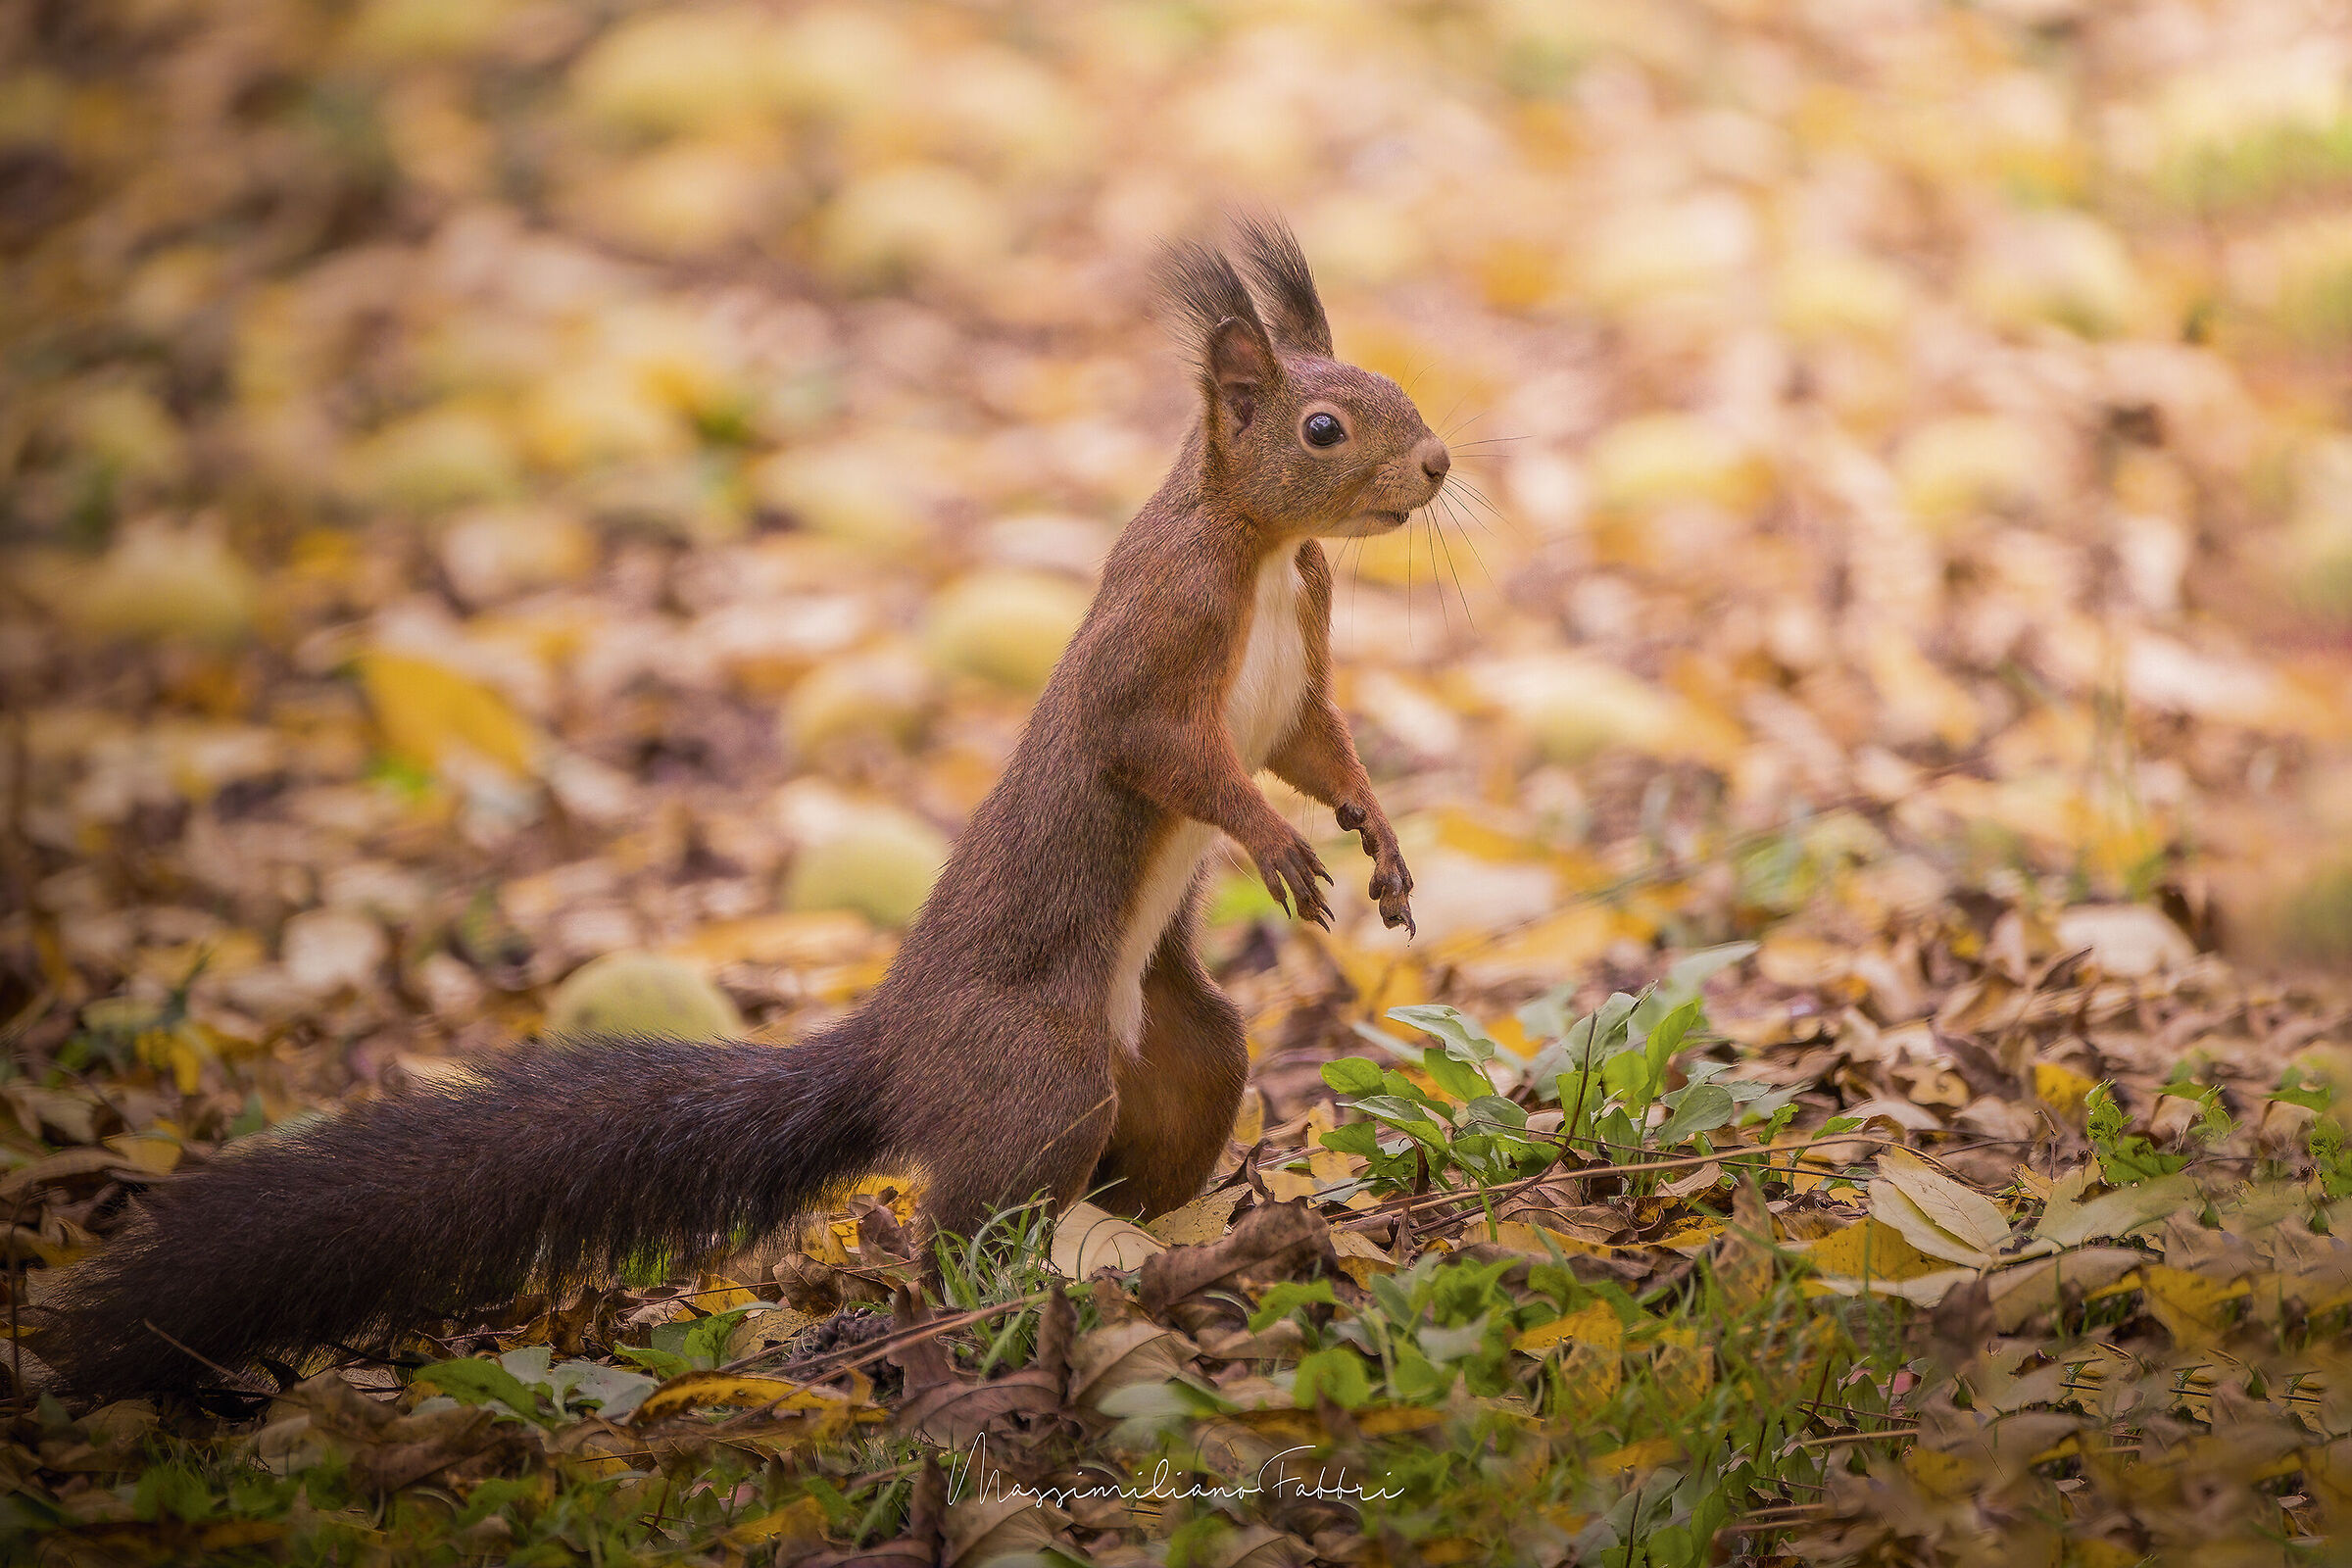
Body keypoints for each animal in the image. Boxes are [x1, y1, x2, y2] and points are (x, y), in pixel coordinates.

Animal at [46, 215, 1451, 1403]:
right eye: (1324, 428)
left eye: (1391, 389)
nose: (1438, 464)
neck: (1260, 551)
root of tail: (896, 1049)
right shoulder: (1155, 650)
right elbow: (1177, 758)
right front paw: (1276, 845)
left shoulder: (1296, 674)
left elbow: (1319, 748)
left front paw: (1375, 835)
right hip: (1035, 1072)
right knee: (956, 1223)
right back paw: (960, 1322)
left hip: (1180, 1051)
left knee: (1142, 1140)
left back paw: (1171, 1247)